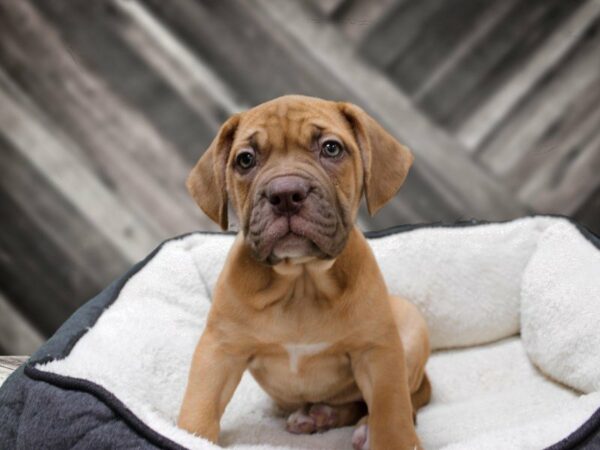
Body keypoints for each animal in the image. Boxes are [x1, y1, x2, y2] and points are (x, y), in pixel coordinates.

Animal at [178, 95, 432, 450]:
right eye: (245, 159)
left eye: (331, 148)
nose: (285, 194)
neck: (301, 282)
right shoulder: (219, 350)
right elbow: (199, 409)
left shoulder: (378, 352)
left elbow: (391, 413)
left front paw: (390, 438)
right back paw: (320, 416)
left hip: (410, 326)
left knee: (401, 402)